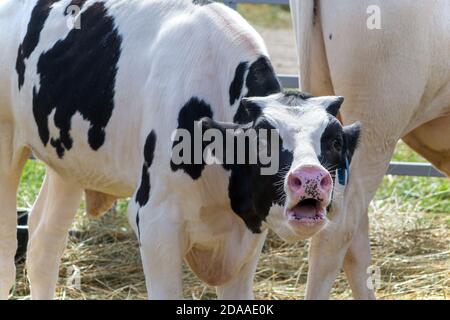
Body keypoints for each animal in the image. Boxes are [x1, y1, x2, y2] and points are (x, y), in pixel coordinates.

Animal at [0, 0, 360, 300]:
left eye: (334, 142)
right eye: (262, 140)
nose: (310, 178)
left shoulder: (247, 234)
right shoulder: (154, 220)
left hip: (69, 164)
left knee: (43, 243)